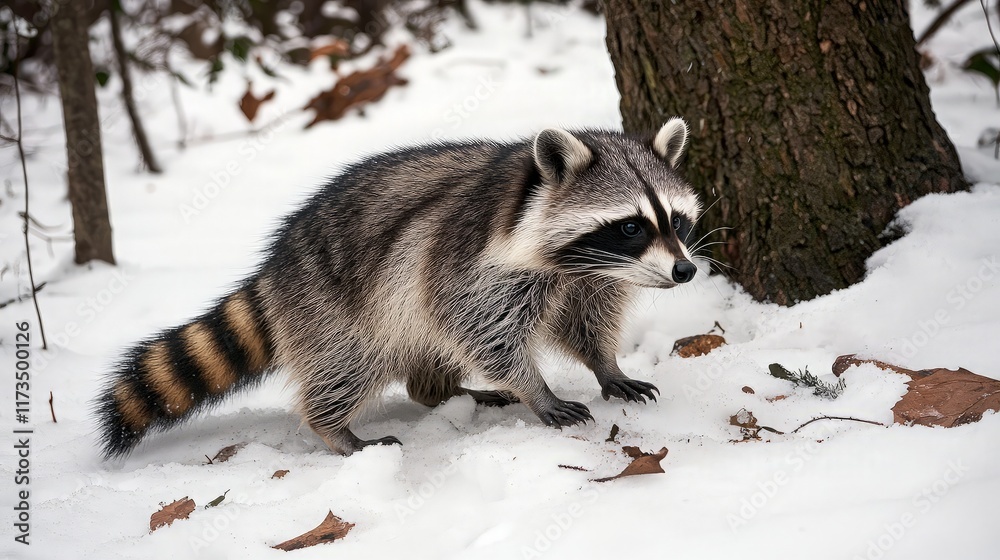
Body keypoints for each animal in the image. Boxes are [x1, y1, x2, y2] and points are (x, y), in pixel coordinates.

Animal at [94, 118, 702, 457]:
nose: (685, 272)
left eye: (675, 220)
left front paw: (606, 365)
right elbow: (482, 330)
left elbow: (585, 323)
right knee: (345, 363)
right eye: (630, 226)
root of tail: (277, 261)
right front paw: (537, 389)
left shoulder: (587, 281)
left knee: (421, 353)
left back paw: (442, 390)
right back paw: (335, 429)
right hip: (329, 301)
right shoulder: (471, 264)